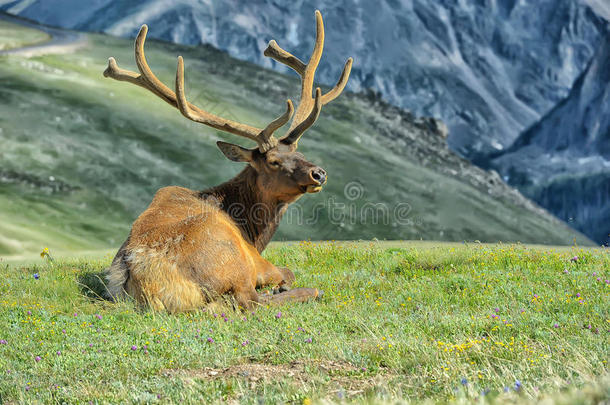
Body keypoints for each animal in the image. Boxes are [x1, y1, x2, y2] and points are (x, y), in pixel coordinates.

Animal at [104, 10, 352, 312]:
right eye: (273, 161)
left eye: (300, 154)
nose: (319, 174)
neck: (253, 232)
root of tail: (144, 278)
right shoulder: (258, 262)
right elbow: (287, 272)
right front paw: (283, 284)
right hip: (232, 261)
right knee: (251, 302)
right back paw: (305, 291)